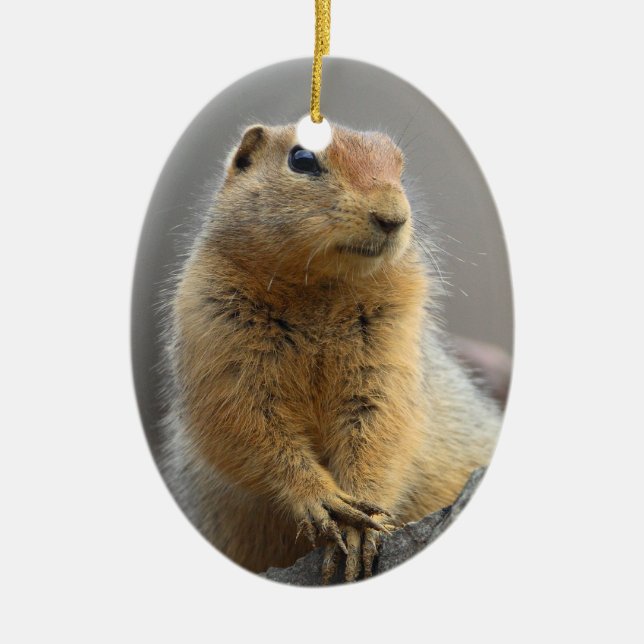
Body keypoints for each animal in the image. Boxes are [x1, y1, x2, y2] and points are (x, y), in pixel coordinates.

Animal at [158, 121, 502, 583]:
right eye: (302, 159)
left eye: (400, 168)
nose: (393, 217)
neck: (319, 289)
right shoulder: (213, 332)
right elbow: (248, 426)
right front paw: (323, 499)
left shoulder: (392, 344)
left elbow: (383, 427)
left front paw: (362, 526)